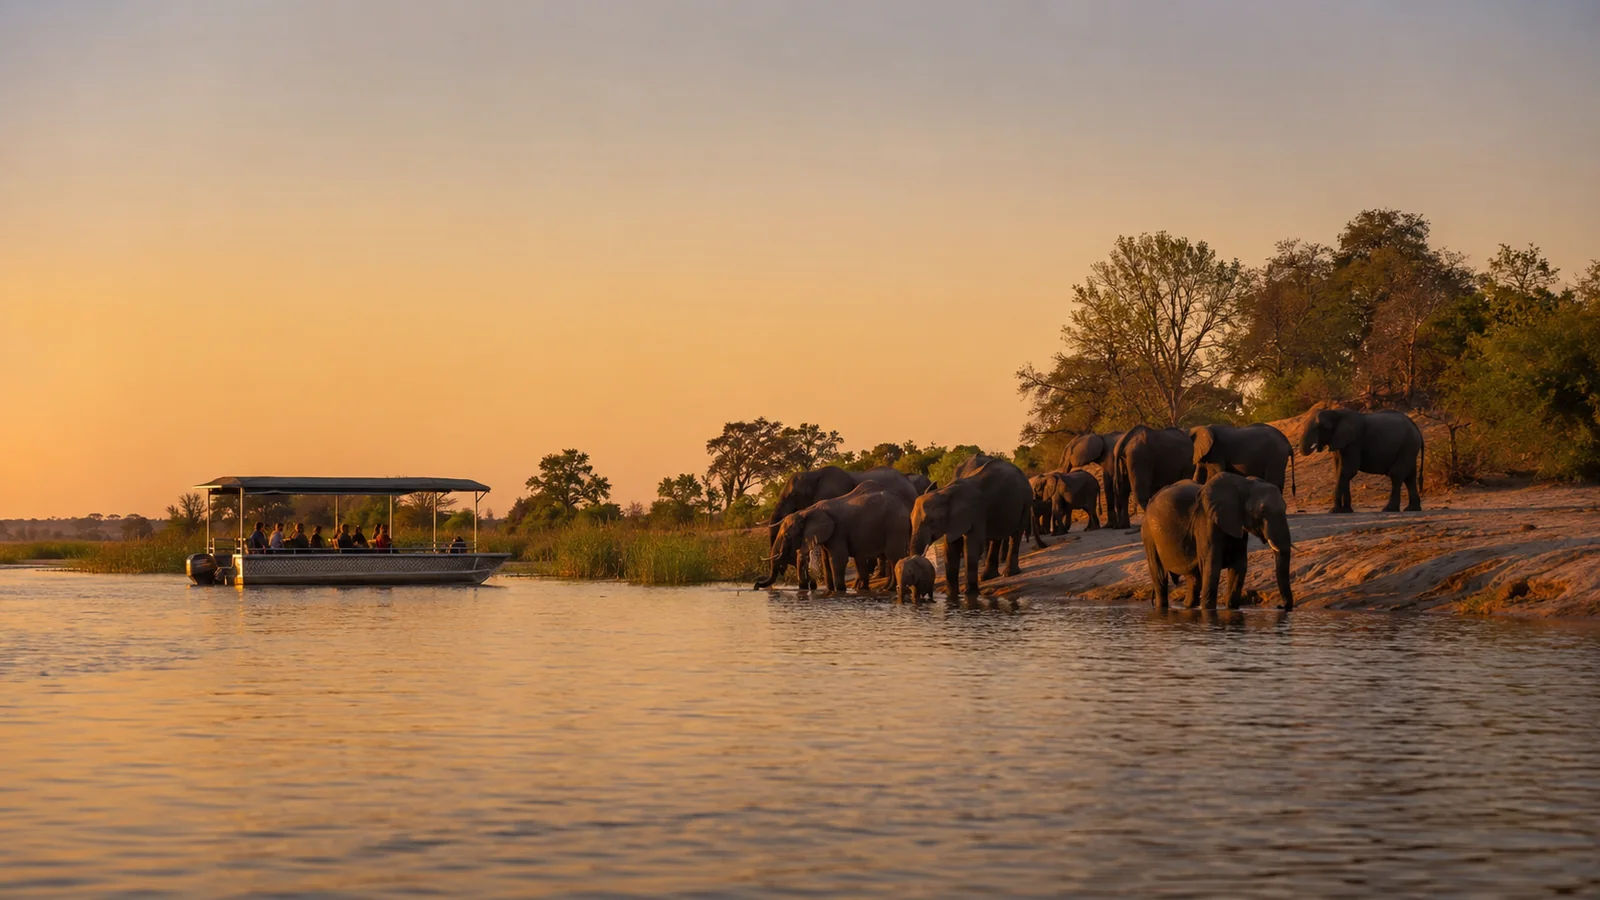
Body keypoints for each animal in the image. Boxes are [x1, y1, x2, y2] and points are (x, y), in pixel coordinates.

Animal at [911, 454, 1044, 597]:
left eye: (930, 521)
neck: (945, 492)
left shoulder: (976, 512)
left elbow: (972, 547)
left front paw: (970, 594)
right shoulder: (954, 520)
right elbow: (950, 550)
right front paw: (952, 596)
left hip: (1025, 501)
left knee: (1016, 534)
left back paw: (1009, 573)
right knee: (996, 536)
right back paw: (987, 577)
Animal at [1141, 473, 1294, 610]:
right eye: (1262, 511)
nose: (1280, 606)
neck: (1243, 484)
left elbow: (1239, 565)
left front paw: (1231, 608)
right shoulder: (1206, 523)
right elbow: (1212, 564)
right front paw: (1208, 610)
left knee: (1193, 579)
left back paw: (1188, 606)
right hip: (1148, 534)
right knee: (1160, 576)